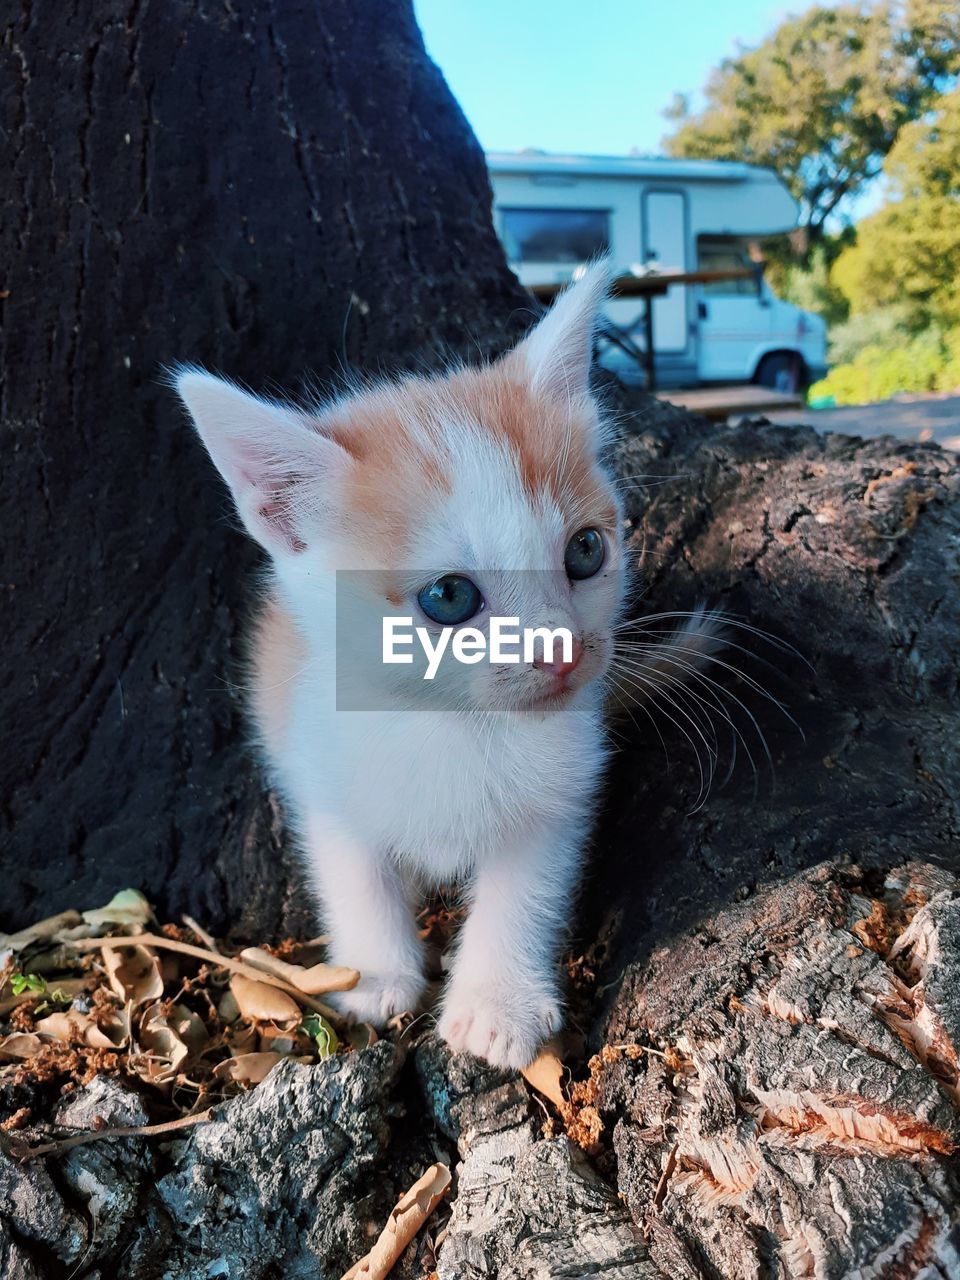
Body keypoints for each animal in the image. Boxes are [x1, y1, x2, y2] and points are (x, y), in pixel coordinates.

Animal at [175, 267, 640, 1070]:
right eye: (448, 596)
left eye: (585, 551)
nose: (561, 650)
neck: (451, 723)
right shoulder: (322, 773)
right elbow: (355, 874)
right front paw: (375, 978)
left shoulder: (564, 786)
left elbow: (526, 886)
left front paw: (496, 1006)